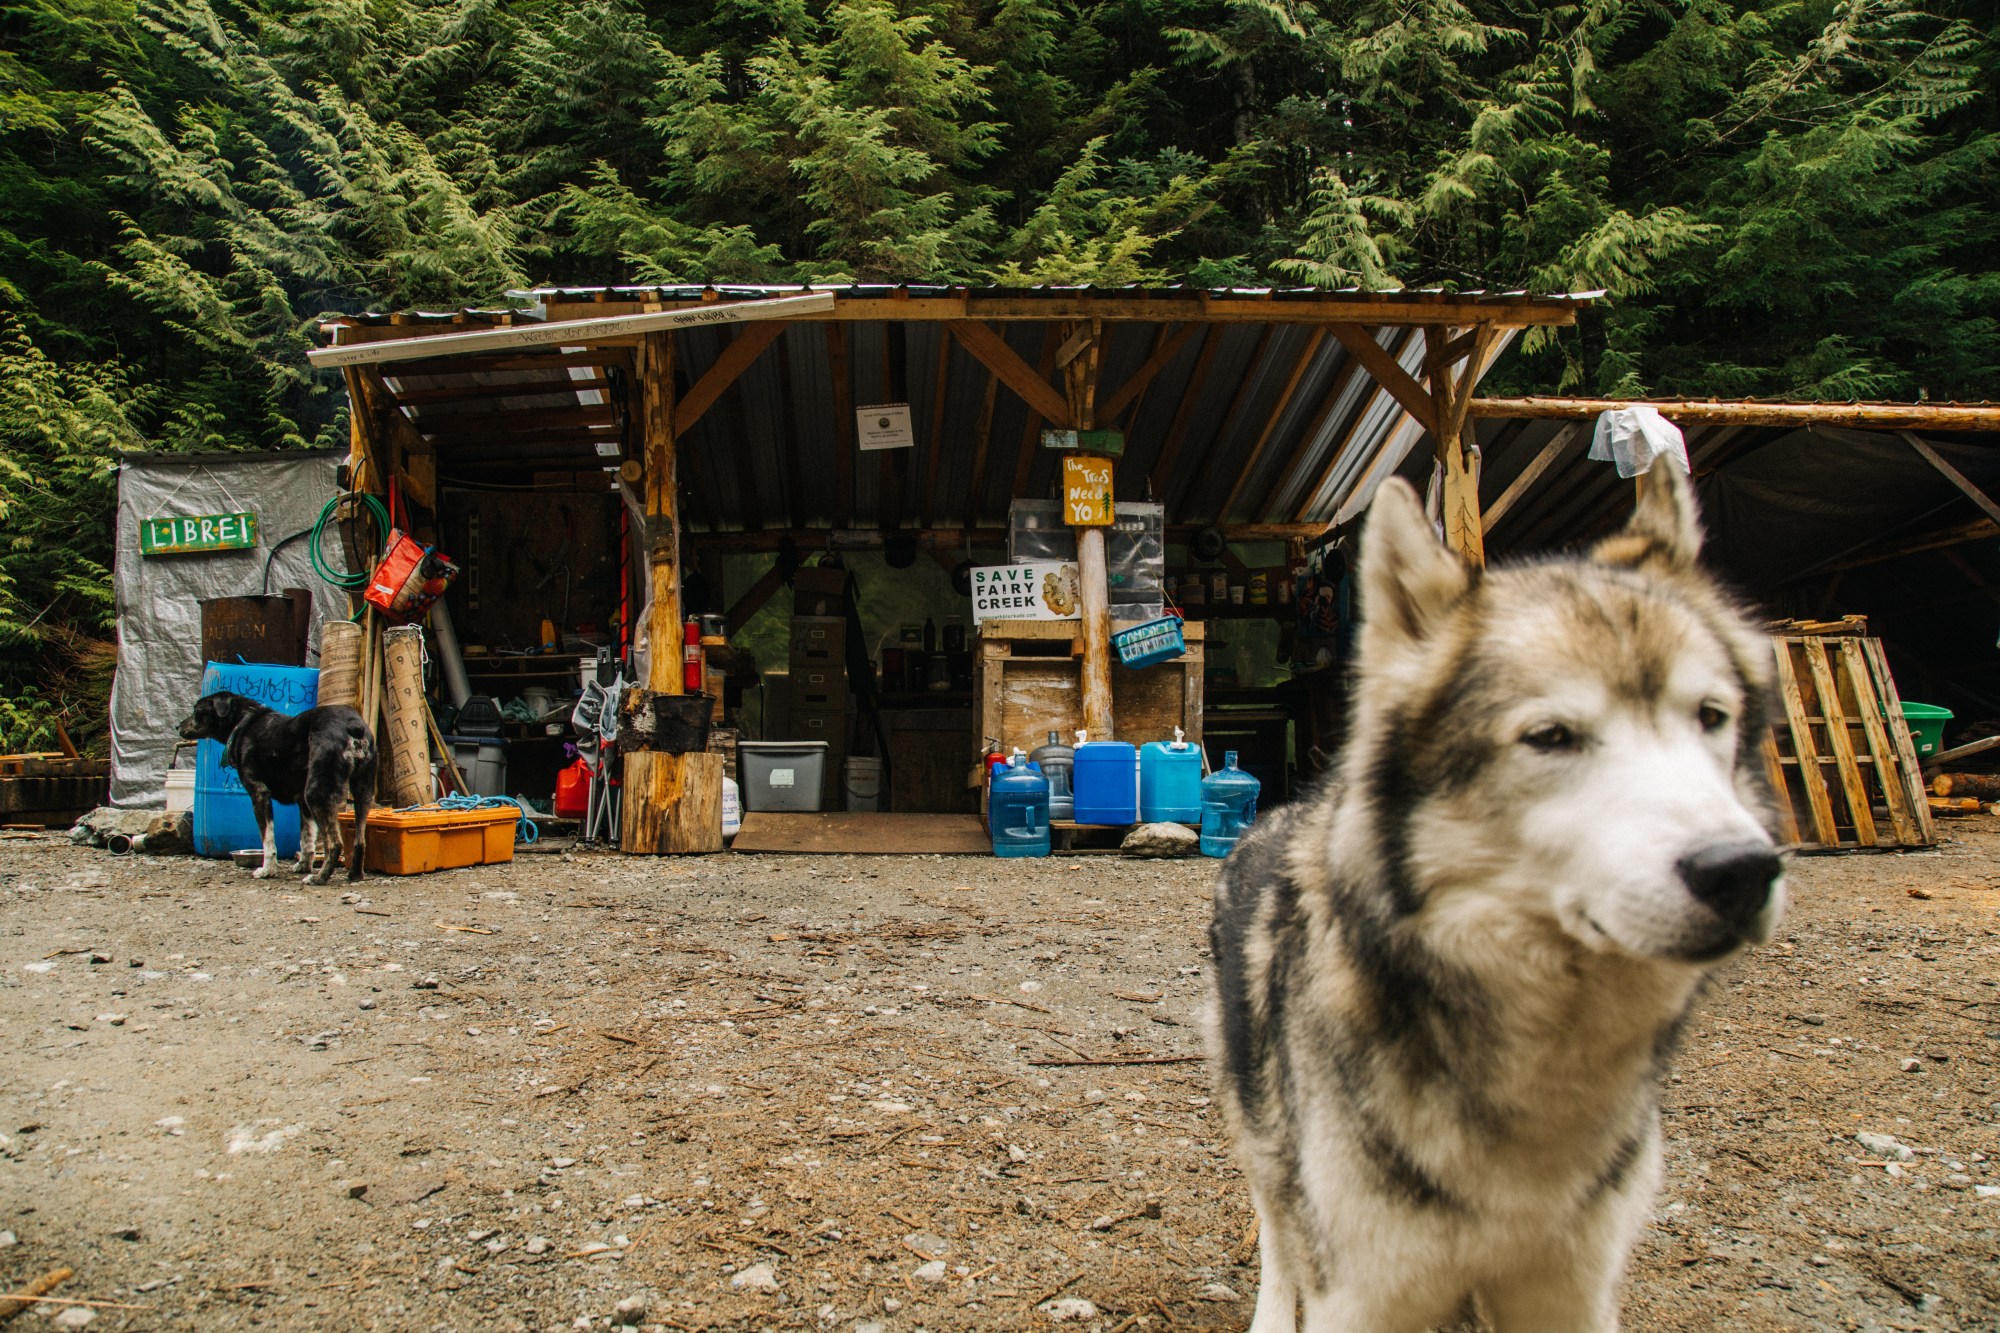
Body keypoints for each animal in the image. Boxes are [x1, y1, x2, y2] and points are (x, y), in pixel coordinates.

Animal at [180, 684, 378, 880]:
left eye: (197, 711)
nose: (178, 725)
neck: (242, 722)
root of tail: (353, 725)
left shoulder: (259, 794)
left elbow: (268, 840)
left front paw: (267, 870)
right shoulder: (302, 802)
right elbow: (306, 838)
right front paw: (304, 865)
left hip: (317, 793)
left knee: (335, 843)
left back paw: (319, 878)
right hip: (362, 792)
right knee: (360, 839)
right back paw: (355, 874)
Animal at [1208, 460, 1792, 1328]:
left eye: (1710, 716)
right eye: (1550, 736)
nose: (1743, 869)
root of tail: (1276, 812)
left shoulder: (1571, 1290)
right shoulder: (1360, 1291)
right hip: (1267, 1131)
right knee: (1277, 1231)